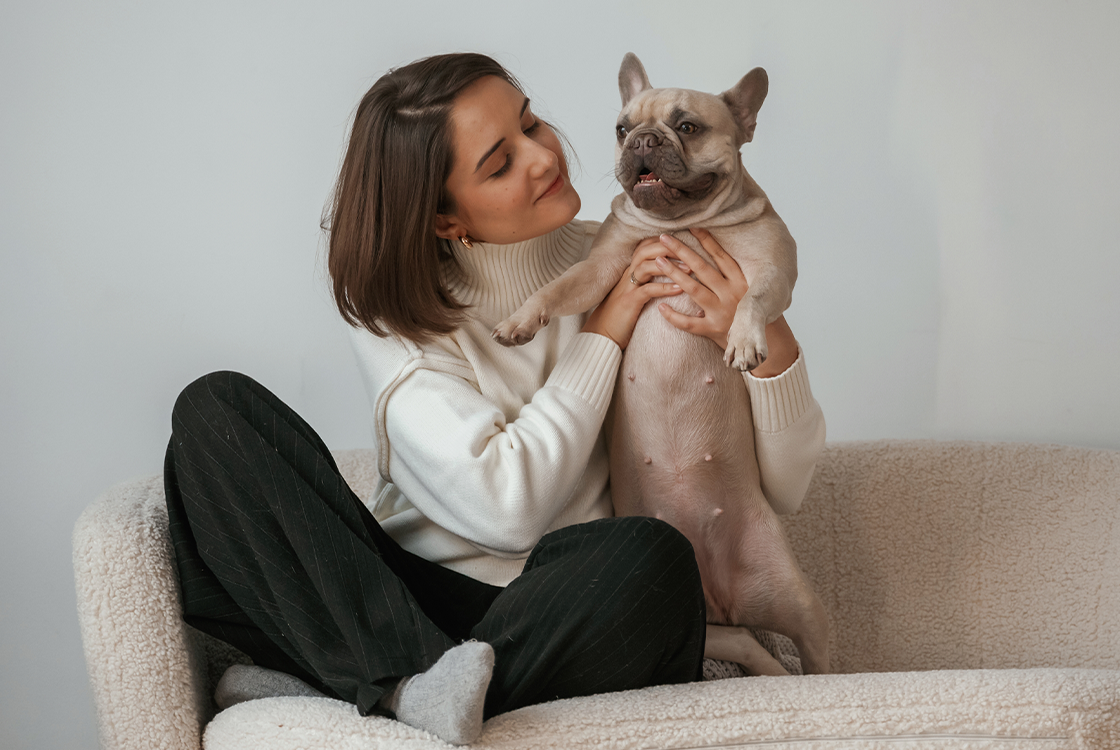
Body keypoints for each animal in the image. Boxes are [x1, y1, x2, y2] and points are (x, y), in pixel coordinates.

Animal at [495, 52, 828, 676]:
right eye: (621, 128)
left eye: (688, 127)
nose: (643, 141)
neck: (681, 225)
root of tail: (723, 594)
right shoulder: (602, 270)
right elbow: (559, 286)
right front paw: (521, 318)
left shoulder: (774, 269)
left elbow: (753, 298)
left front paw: (744, 340)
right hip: (710, 624)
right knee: (746, 643)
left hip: (797, 601)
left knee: (817, 651)